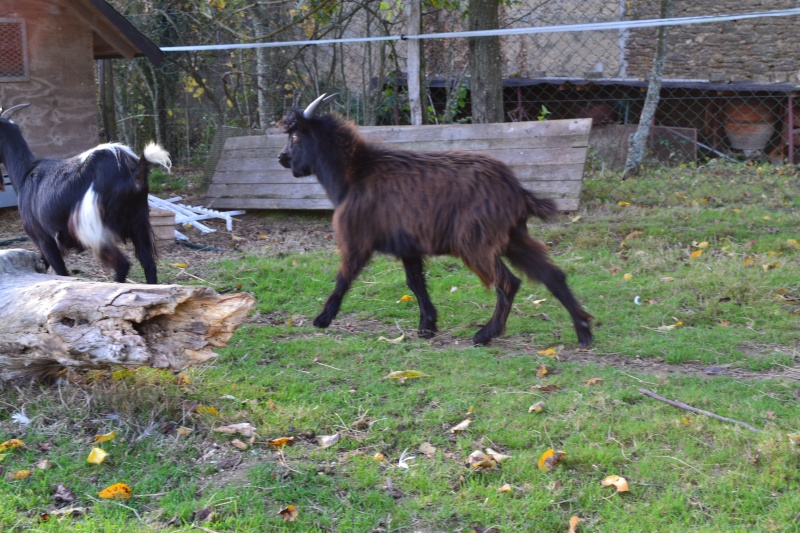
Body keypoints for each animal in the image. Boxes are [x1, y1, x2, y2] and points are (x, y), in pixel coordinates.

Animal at [0, 105, 170, 286]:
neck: (26, 172)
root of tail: (134, 171)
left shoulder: (44, 238)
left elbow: (61, 272)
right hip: (139, 222)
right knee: (149, 265)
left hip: (93, 230)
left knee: (123, 264)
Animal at [278, 93, 592, 348]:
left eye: (296, 137)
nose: (282, 158)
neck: (355, 174)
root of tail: (515, 189)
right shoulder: (407, 245)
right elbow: (415, 282)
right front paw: (428, 325)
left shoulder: (358, 238)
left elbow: (344, 277)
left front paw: (322, 319)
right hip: (513, 237)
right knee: (553, 275)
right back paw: (584, 331)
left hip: (475, 242)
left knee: (509, 283)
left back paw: (485, 334)